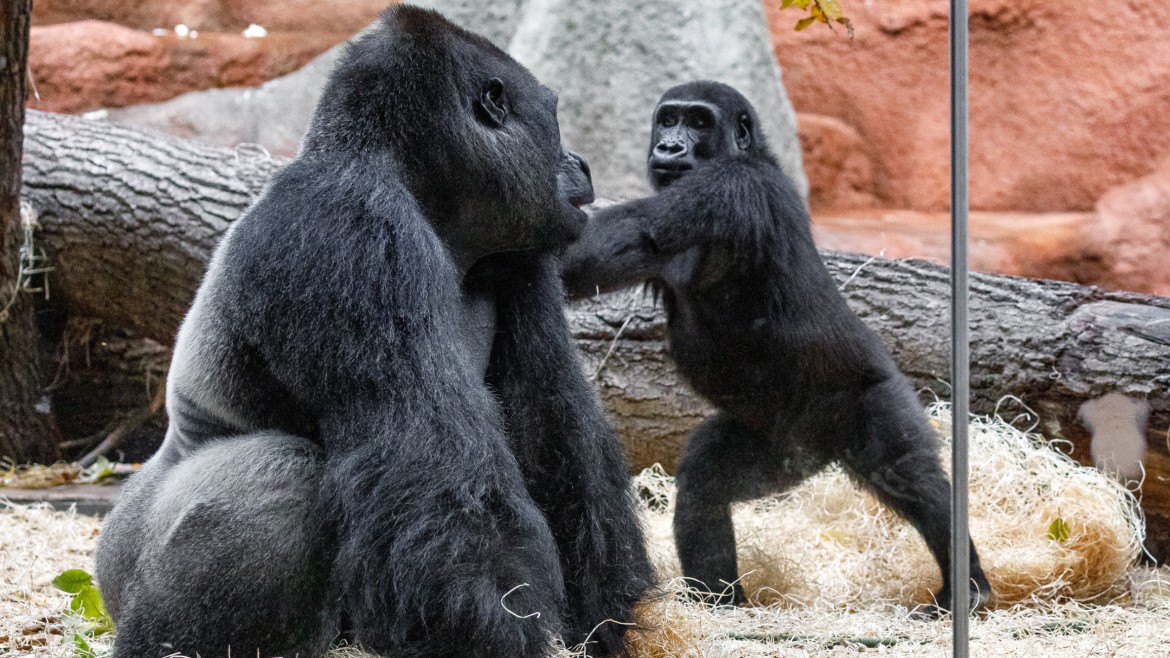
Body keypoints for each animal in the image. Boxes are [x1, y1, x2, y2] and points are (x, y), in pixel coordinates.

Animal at [95, 6, 655, 655]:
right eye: (556, 122)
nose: (581, 164)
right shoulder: (350, 225)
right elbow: (421, 446)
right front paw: (495, 629)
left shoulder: (524, 253)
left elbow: (550, 421)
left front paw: (608, 611)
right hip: (120, 558)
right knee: (280, 474)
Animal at [559, 81, 987, 613]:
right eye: (669, 119)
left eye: (698, 122)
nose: (670, 146)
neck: (749, 153)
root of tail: (822, 451)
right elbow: (581, 261)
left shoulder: (731, 185)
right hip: (784, 448)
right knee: (705, 481)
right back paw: (718, 599)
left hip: (872, 397)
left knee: (908, 473)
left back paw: (968, 586)